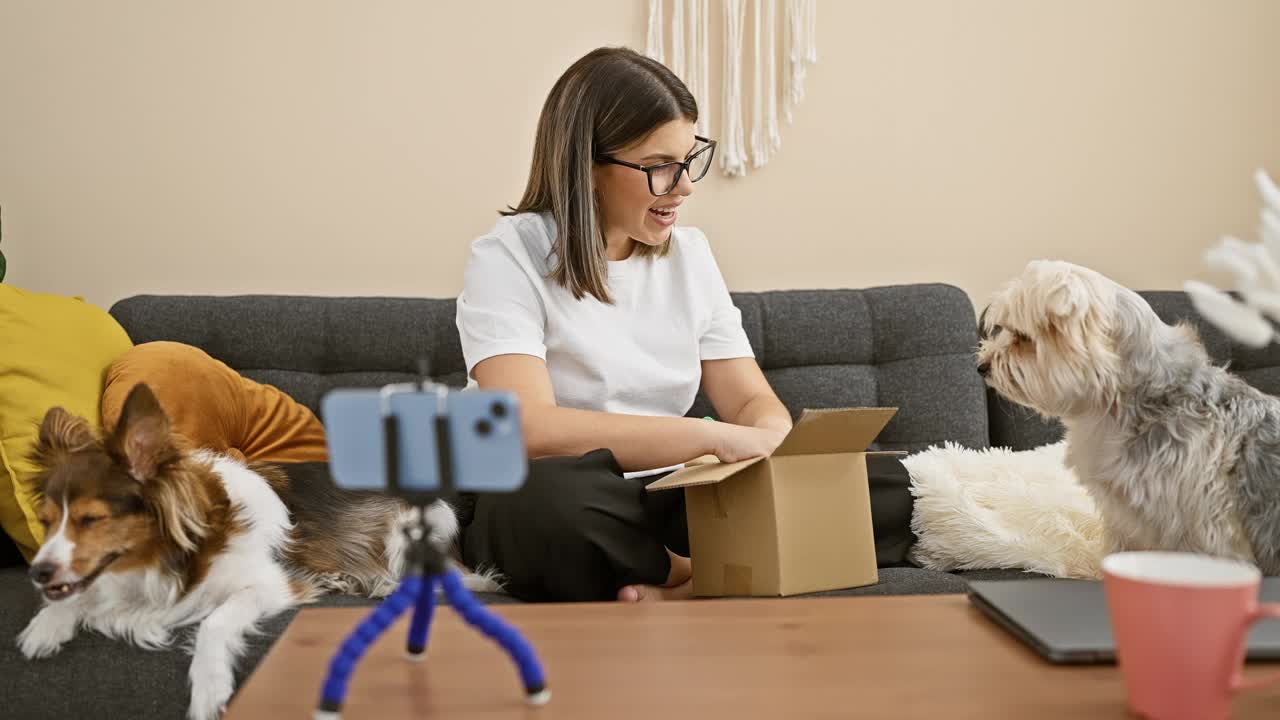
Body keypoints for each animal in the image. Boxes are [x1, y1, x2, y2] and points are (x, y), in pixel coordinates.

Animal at [20, 381, 488, 717]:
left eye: (90, 520)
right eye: (46, 521)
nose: (36, 573)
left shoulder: (268, 584)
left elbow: (215, 622)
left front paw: (209, 687)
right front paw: (47, 625)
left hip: (410, 528)